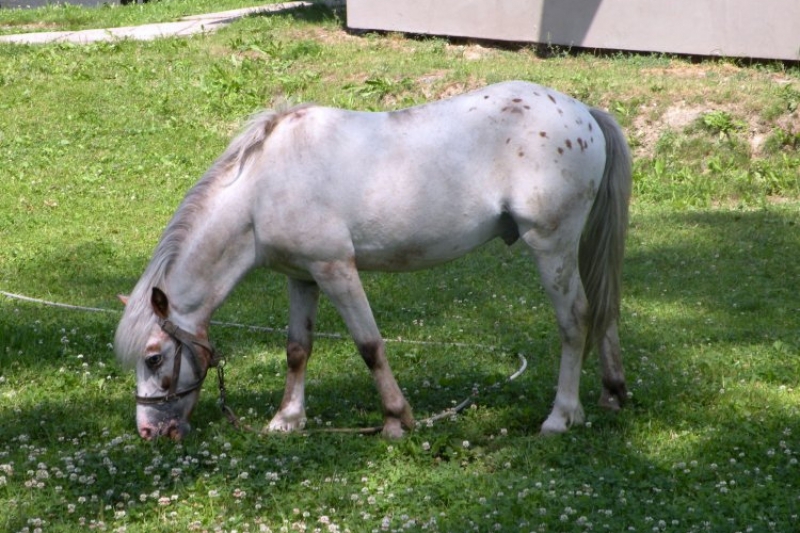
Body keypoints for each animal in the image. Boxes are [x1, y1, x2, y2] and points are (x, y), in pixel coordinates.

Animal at [115, 81, 636, 440]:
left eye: (154, 357)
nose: (148, 431)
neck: (262, 188)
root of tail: (583, 112)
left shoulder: (336, 269)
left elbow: (369, 345)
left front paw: (396, 420)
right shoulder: (302, 278)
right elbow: (297, 349)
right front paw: (287, 420)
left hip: (551, 247)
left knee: (576, 319)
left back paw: (561, 416)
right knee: (603, 309)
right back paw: (612, 393)